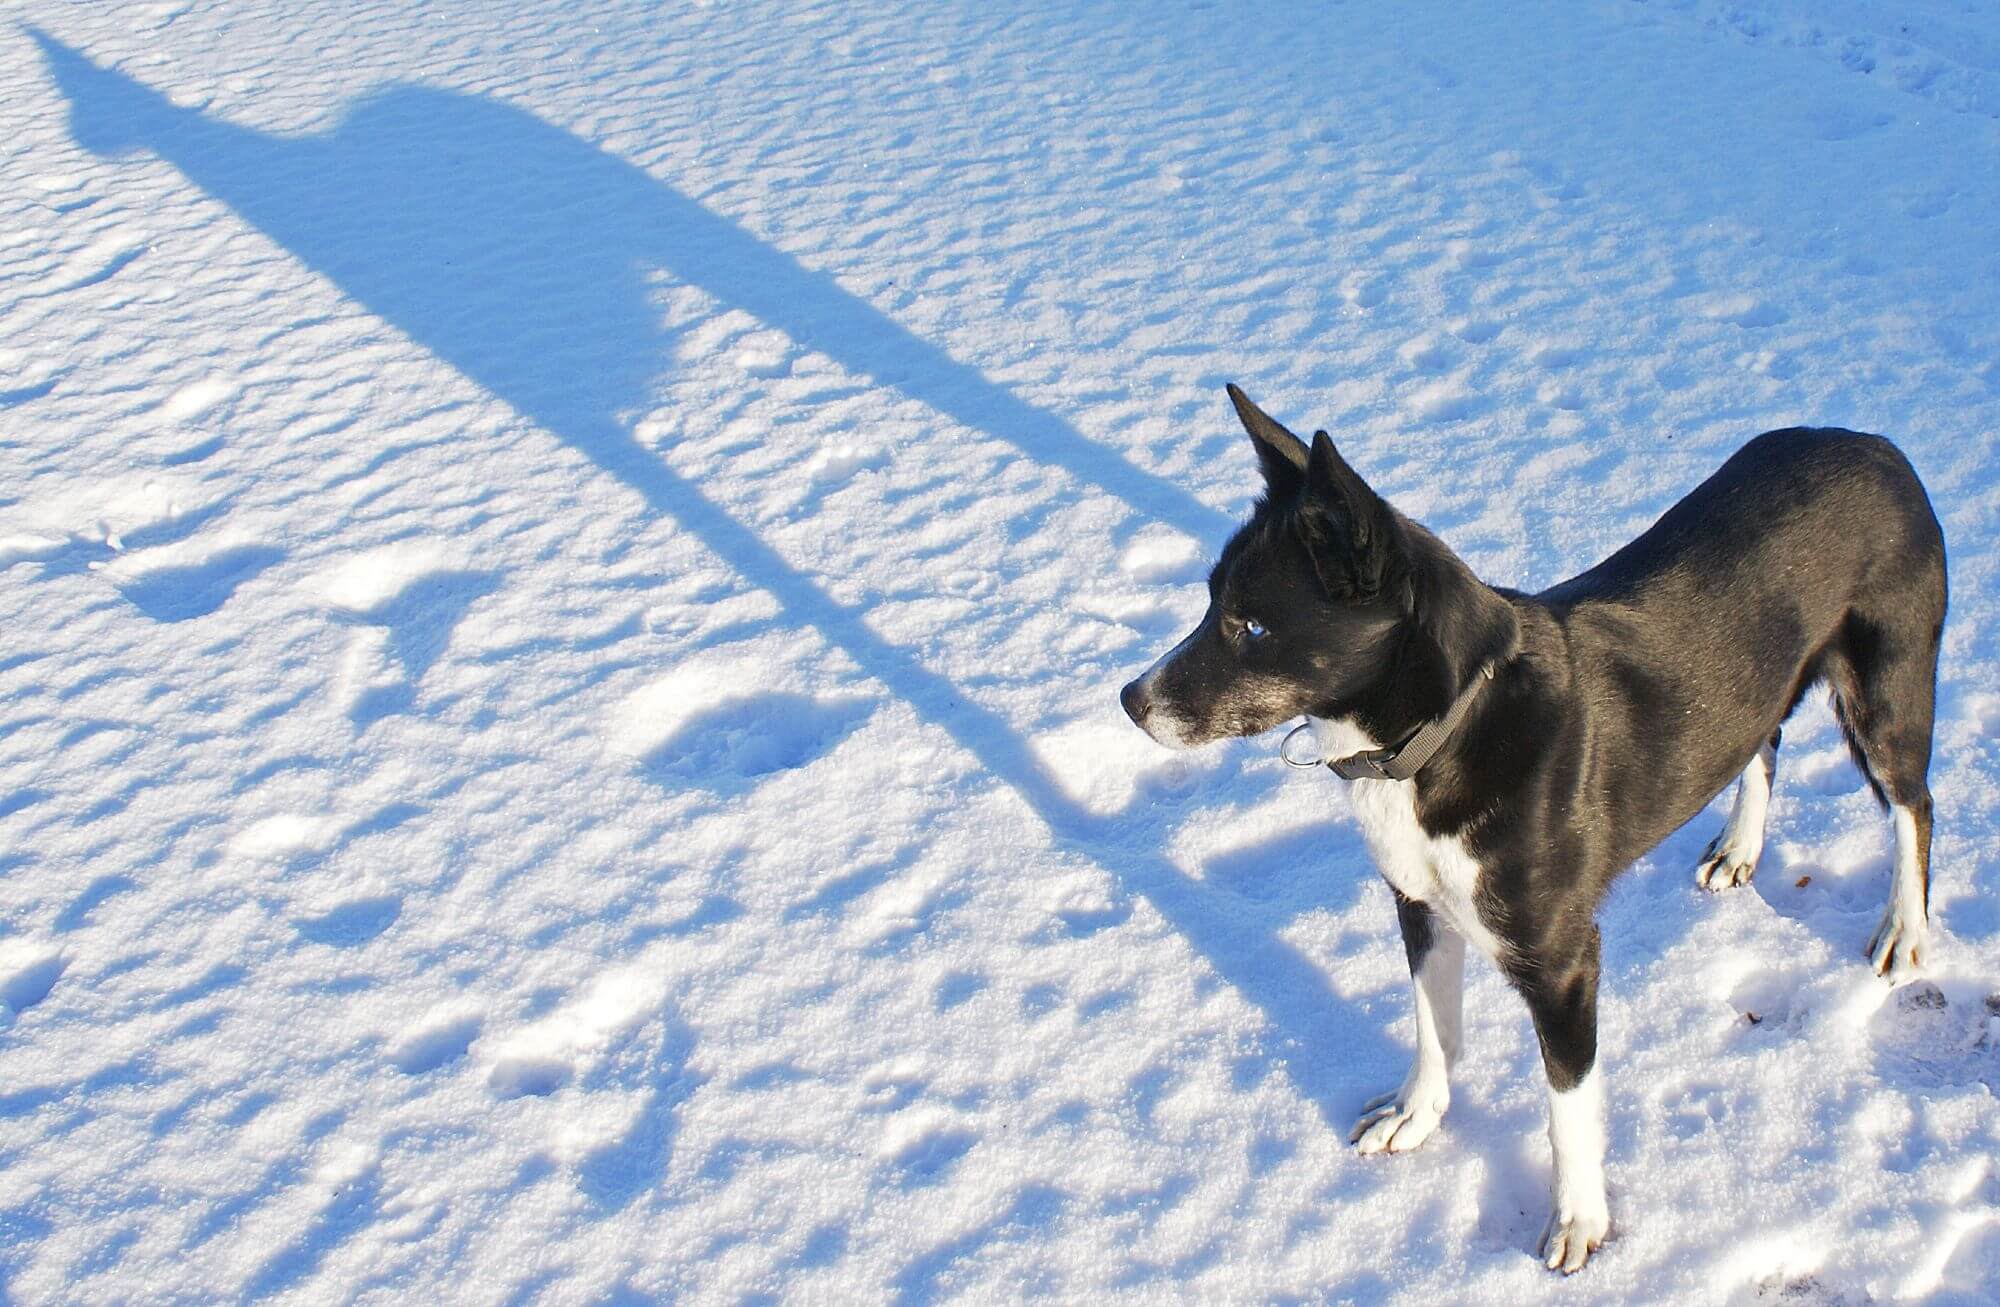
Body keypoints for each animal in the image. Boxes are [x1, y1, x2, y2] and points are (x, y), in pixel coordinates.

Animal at [1128, 385, 1952, 1271]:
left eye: (1250, 626)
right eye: (1210, 601)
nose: (1130, 700)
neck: (1444, 729)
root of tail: (1875, 444)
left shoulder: (1562, 962)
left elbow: (1567, 1107)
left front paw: (1580, 1219)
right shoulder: (1417, 901)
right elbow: (1431, 1025)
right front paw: (1417, 1114)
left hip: (1887, 686)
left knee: (1914, 804)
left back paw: (1905, 927)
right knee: (1762, 737)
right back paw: (1740, 847)